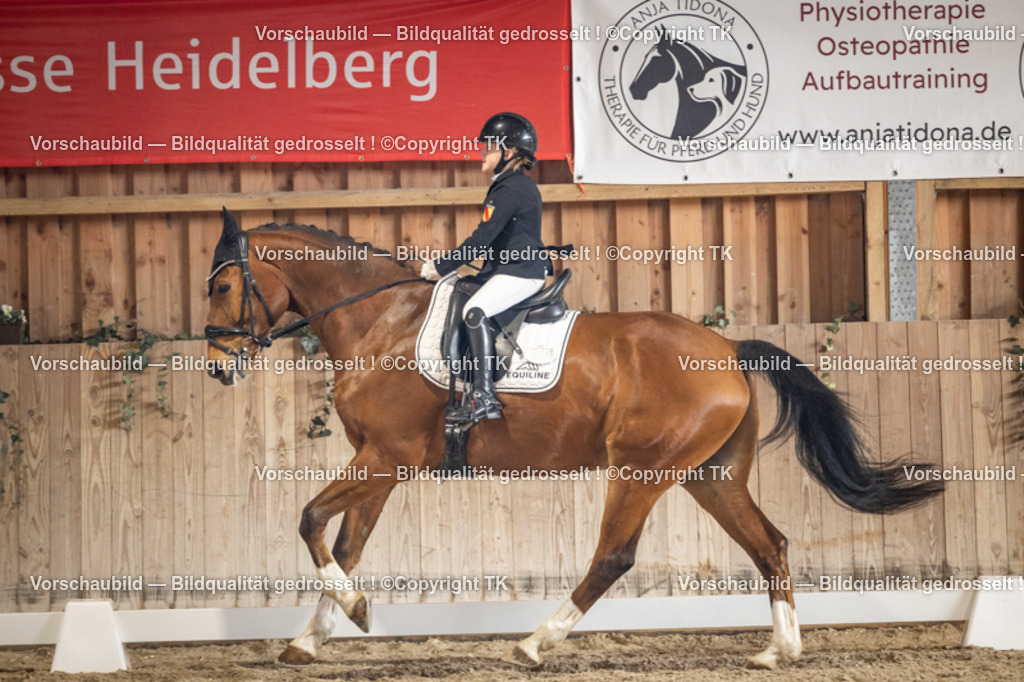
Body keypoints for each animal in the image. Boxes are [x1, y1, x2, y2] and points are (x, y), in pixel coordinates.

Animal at [203, 209, 943, 670]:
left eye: (224, 285)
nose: (215, 366)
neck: (380, 319)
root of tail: (728, 350)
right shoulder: (381, 464)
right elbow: (346, 547)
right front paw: (314, 638)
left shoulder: (388, 457)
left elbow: (309, 521)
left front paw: (353, 611)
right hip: (710, 476)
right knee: (771, 545)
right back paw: (779, 650)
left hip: (641, 471)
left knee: (613, 557)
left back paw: (534, 643)